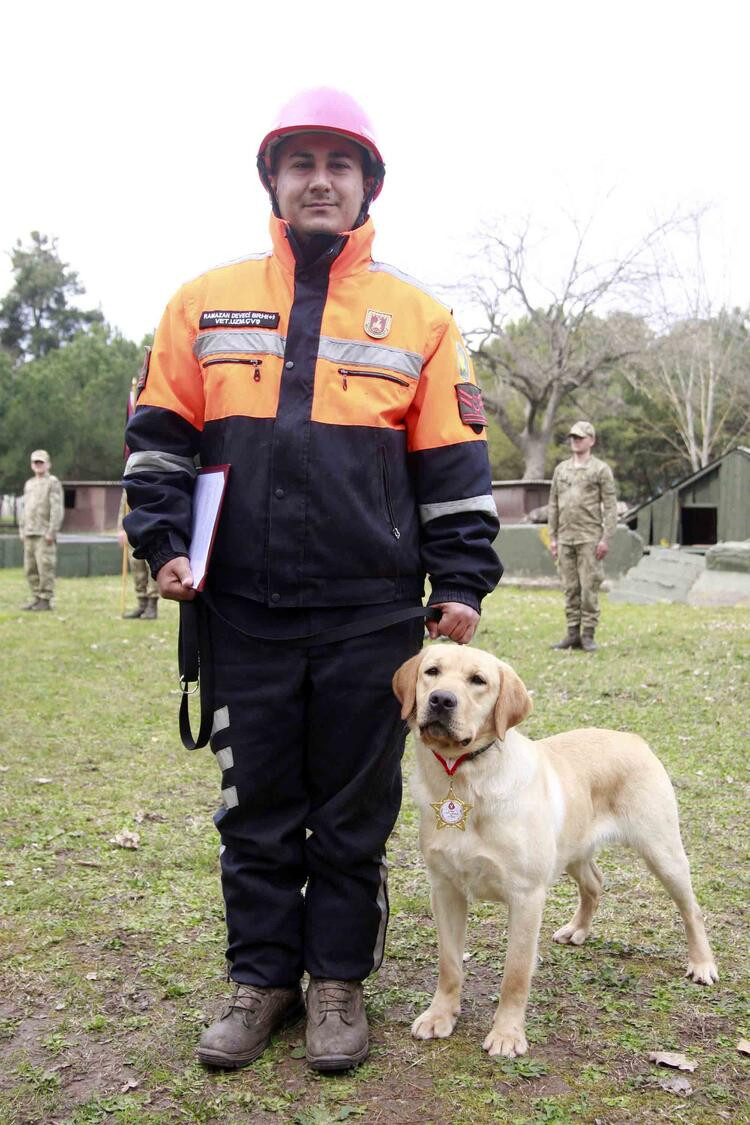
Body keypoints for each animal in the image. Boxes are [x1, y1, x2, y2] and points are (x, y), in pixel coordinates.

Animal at [391, 648, 719, 1057]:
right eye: (432, 672)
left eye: (478, 681)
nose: (441, 700)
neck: (466, 780)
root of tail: (633, 738)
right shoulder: (445, 888)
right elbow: (449, 964)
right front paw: (440, 1015)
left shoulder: (526, 895)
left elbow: (515, 974)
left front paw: (507, 1034)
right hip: (572, 850)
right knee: (594, 882)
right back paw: (578, 929)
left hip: (662, 851)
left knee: (692, 909)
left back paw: (702, 963)